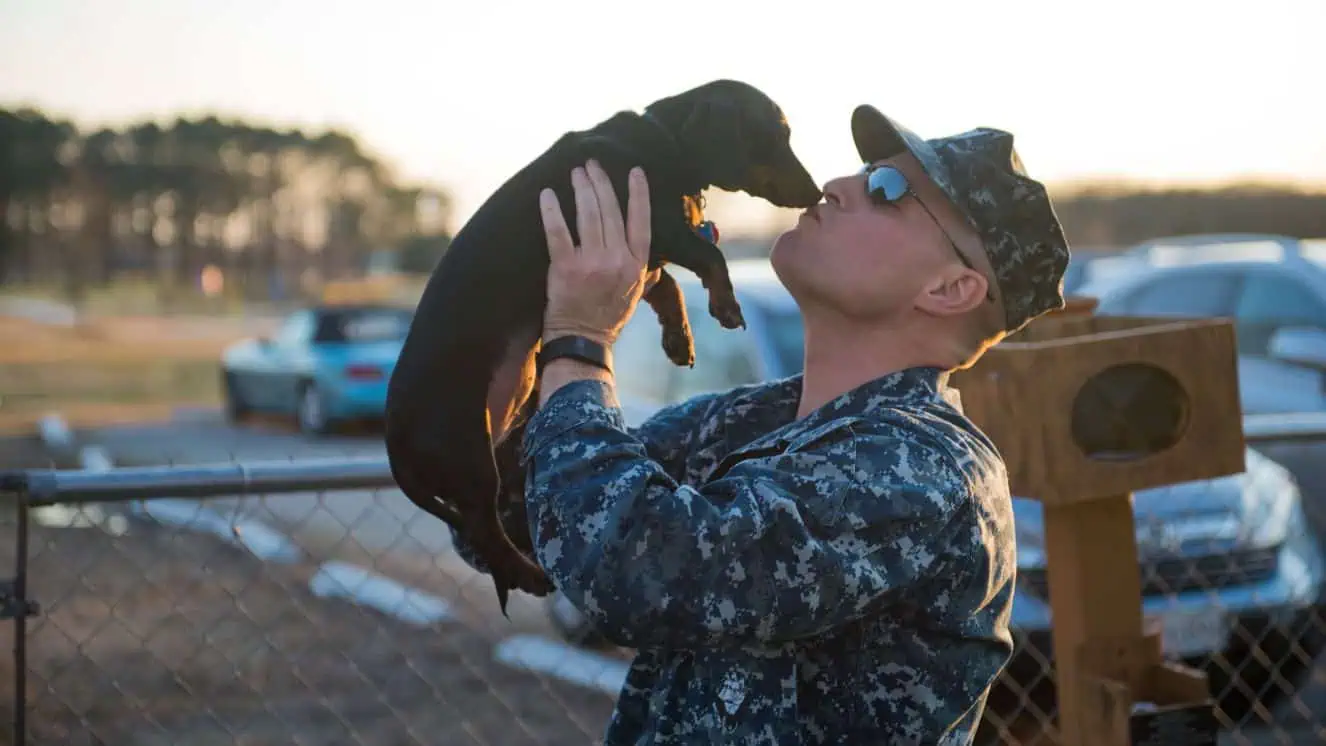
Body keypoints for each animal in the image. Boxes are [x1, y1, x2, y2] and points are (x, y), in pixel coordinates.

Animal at [379, 78, 822, 614]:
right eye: (775, 137)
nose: (818, 192)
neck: (664, 144)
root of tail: (394, 440)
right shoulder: (658, 224)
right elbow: (708, 254)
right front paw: (726, 306)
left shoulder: (649, 249)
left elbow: (668, 288)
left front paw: (680, 339)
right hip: (470, 450)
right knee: (484, 527)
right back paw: (530, 574)